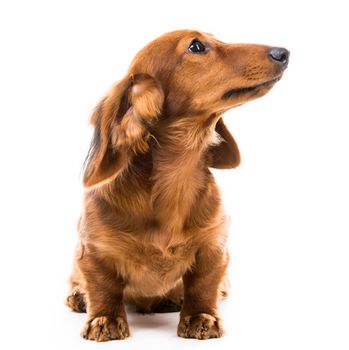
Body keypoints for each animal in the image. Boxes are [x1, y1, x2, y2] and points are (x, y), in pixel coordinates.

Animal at [65, 28, 288, 340]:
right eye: (196, 46)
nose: (283, 53)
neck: (174, 180)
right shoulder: (94, 250)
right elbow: (103, 286)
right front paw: (105, 319)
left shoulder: (214, 246)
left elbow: (203, 284)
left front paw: (201, 316)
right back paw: (79, 296)